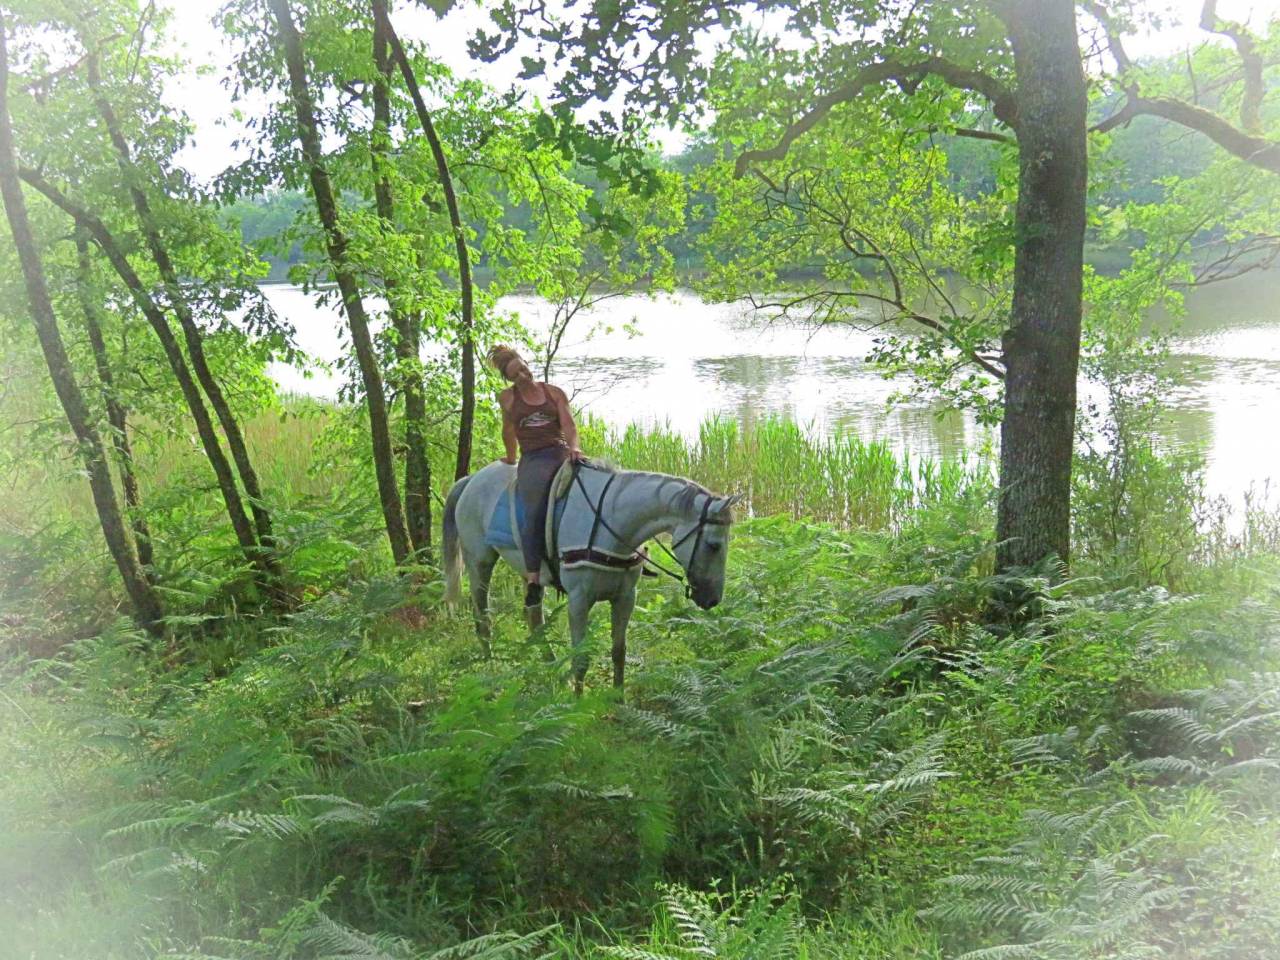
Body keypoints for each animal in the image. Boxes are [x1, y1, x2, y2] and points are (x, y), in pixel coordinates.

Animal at [442, 459, 739, 692]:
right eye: (714, 545)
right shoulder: (579, 601)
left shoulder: (625, 598)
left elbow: (619, 652)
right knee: (483, 619)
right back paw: (491, 670)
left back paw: (552, 668)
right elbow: (581, 658)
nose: (712, 599)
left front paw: (618, 699)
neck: (612, 522)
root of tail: (471, 480)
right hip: (479, 562)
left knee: (534, 617)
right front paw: (578, 703)